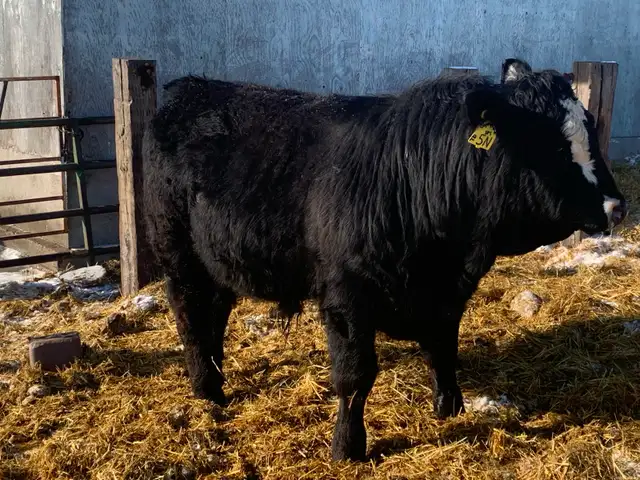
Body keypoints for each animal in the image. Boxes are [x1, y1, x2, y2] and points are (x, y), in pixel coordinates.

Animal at [141, 58, 627, 462]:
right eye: (549, 144)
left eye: (589, 128)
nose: (616, 206)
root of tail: (191, 87)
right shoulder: (347, 297)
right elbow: (355, 375)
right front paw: (347, 448)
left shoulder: (447, 294)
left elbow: (443, 351)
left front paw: (450, 408)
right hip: (178, 253)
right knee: (189, 313)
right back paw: (206, 390)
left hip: (219, 259)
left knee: (215, 313)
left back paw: (216, 377)